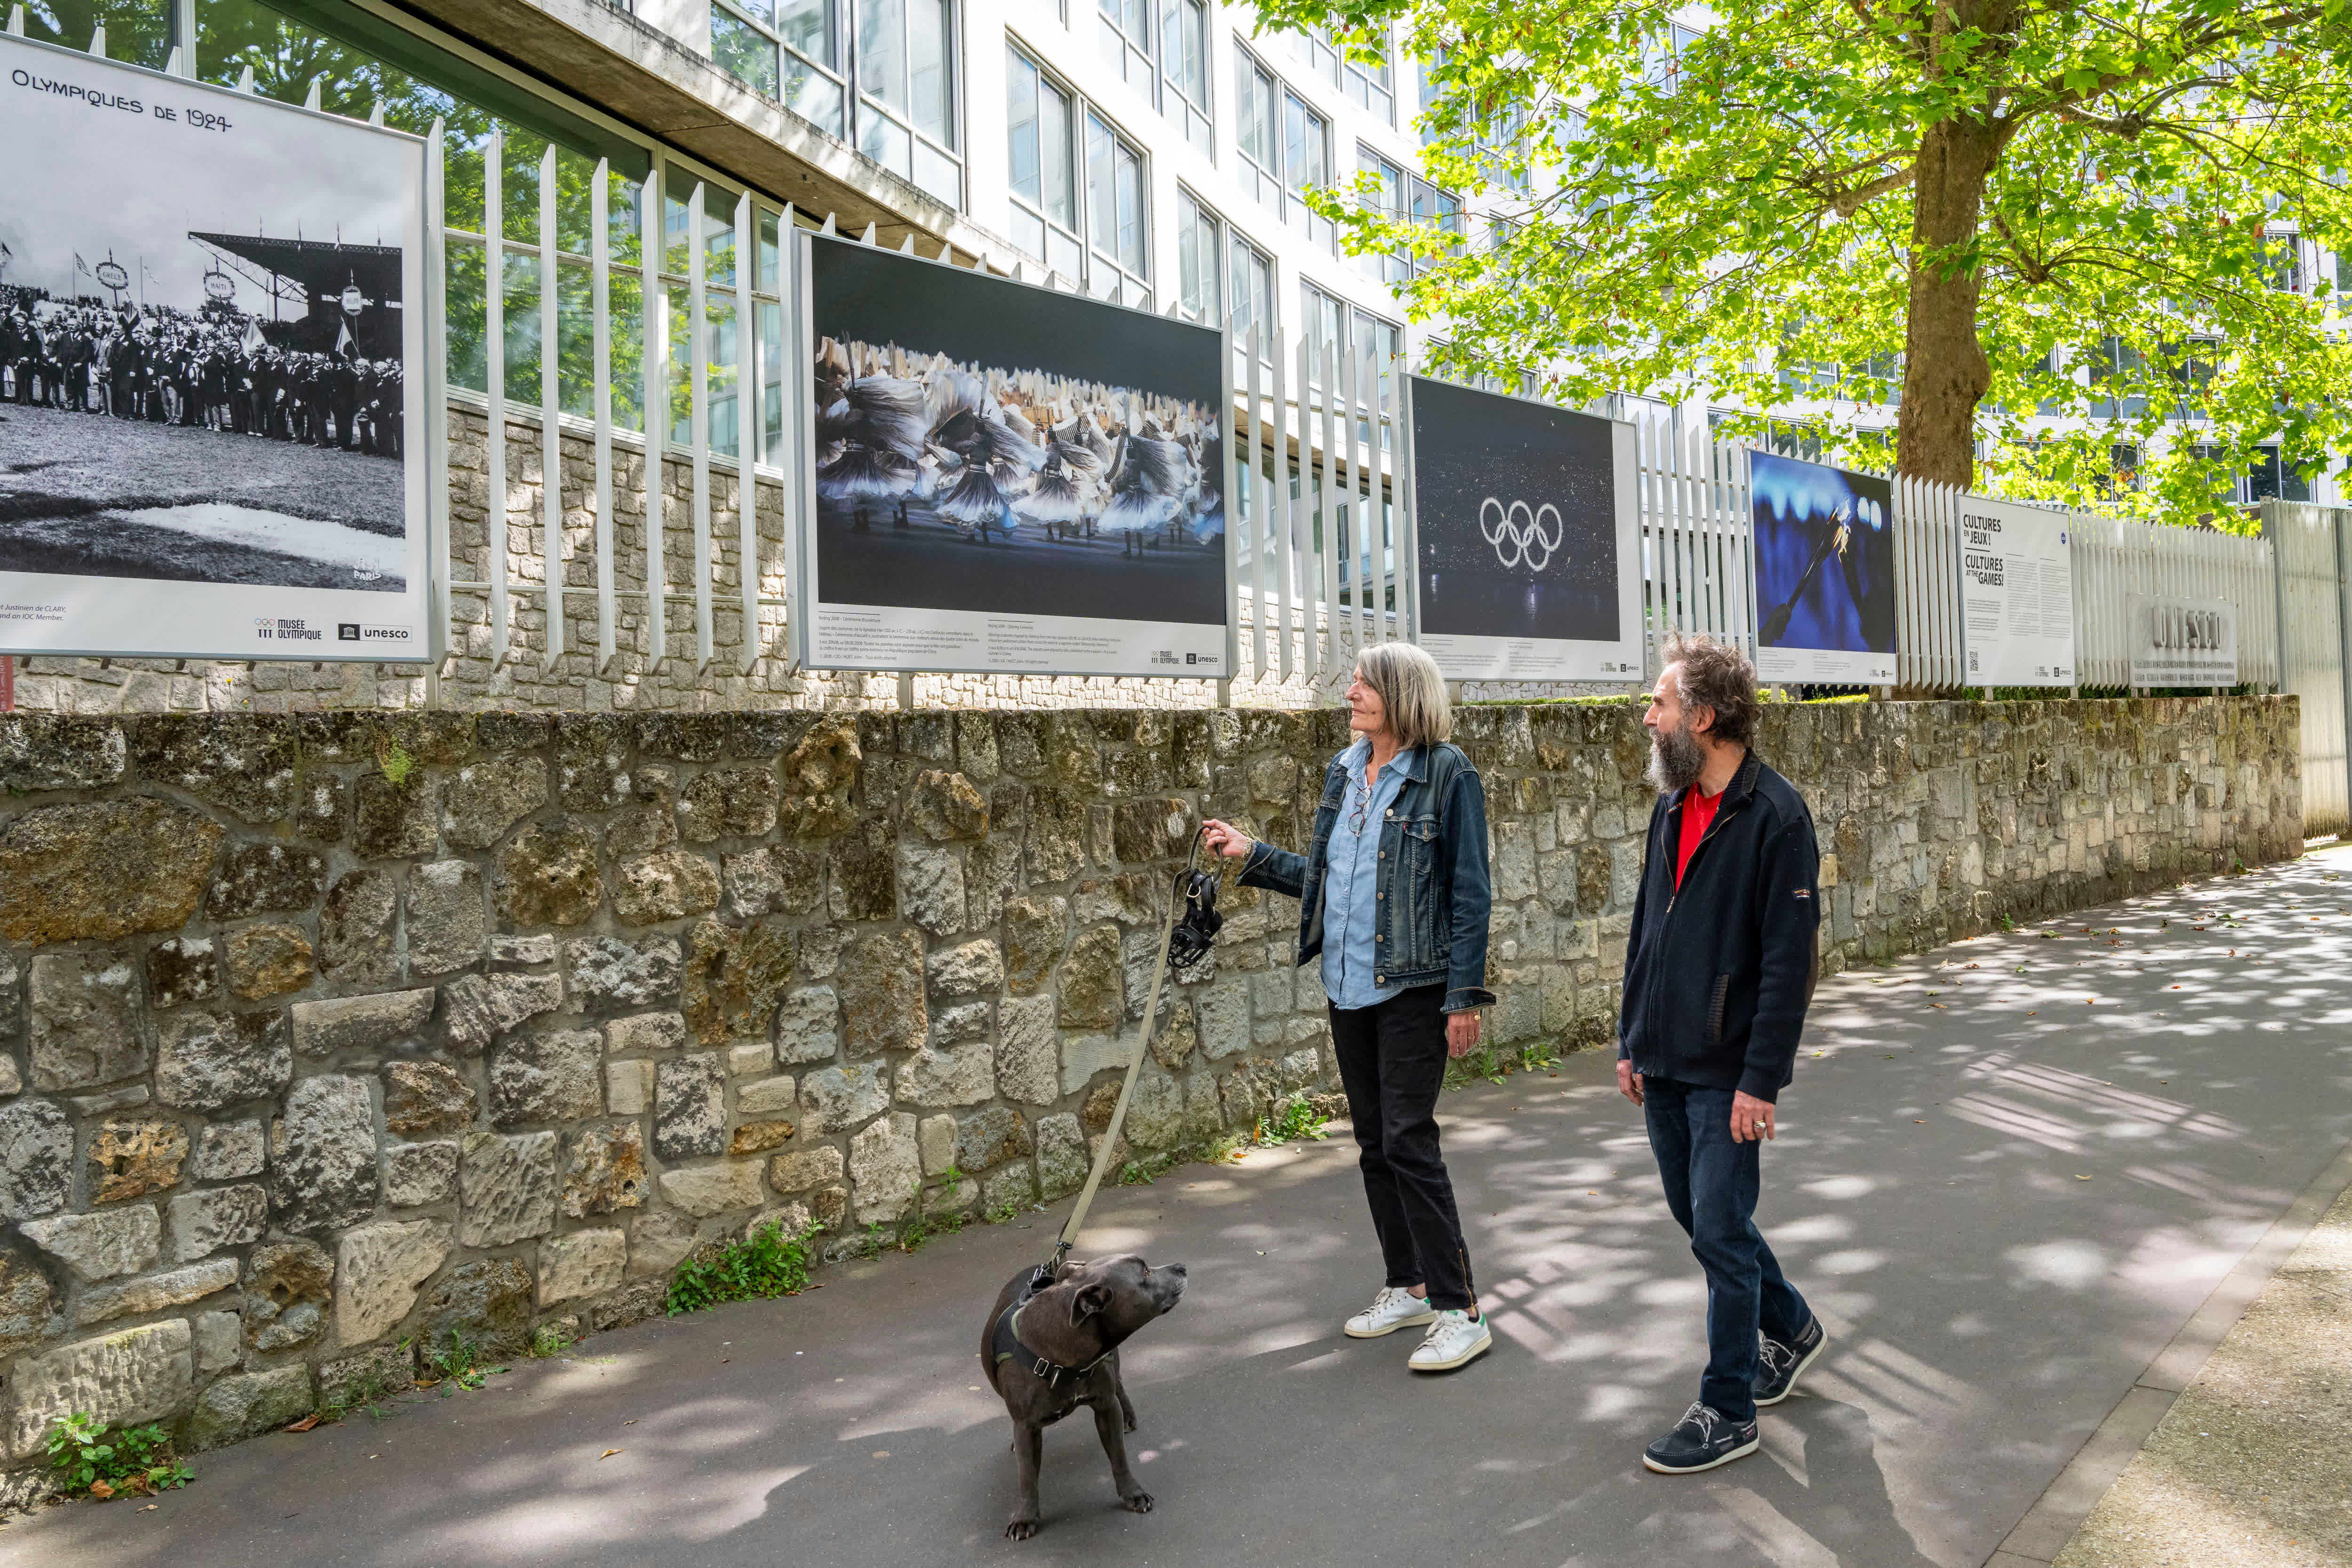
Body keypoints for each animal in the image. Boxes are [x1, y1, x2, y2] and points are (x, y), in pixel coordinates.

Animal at [978, 1260, 1185, 1542]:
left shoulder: (1107, 1407)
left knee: (1120, 1384)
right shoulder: (1025, 1427)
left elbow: (1120, 1457)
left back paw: (1129, 1416)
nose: (1181, 1266)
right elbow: (1027, 1476)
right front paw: (1025, 1517)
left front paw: (1132, 1493)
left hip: (1112, 1363)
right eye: (1145, 1272)